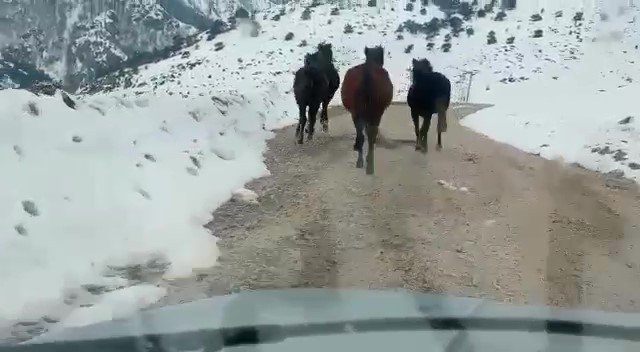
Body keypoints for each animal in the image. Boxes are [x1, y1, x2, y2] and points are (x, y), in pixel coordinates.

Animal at [342, 45, 392, 175]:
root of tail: (367, 73)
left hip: (359, 113)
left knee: (363, 135)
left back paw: (362, 162)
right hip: (375, 112)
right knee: (370, 134)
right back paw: (368, 164)